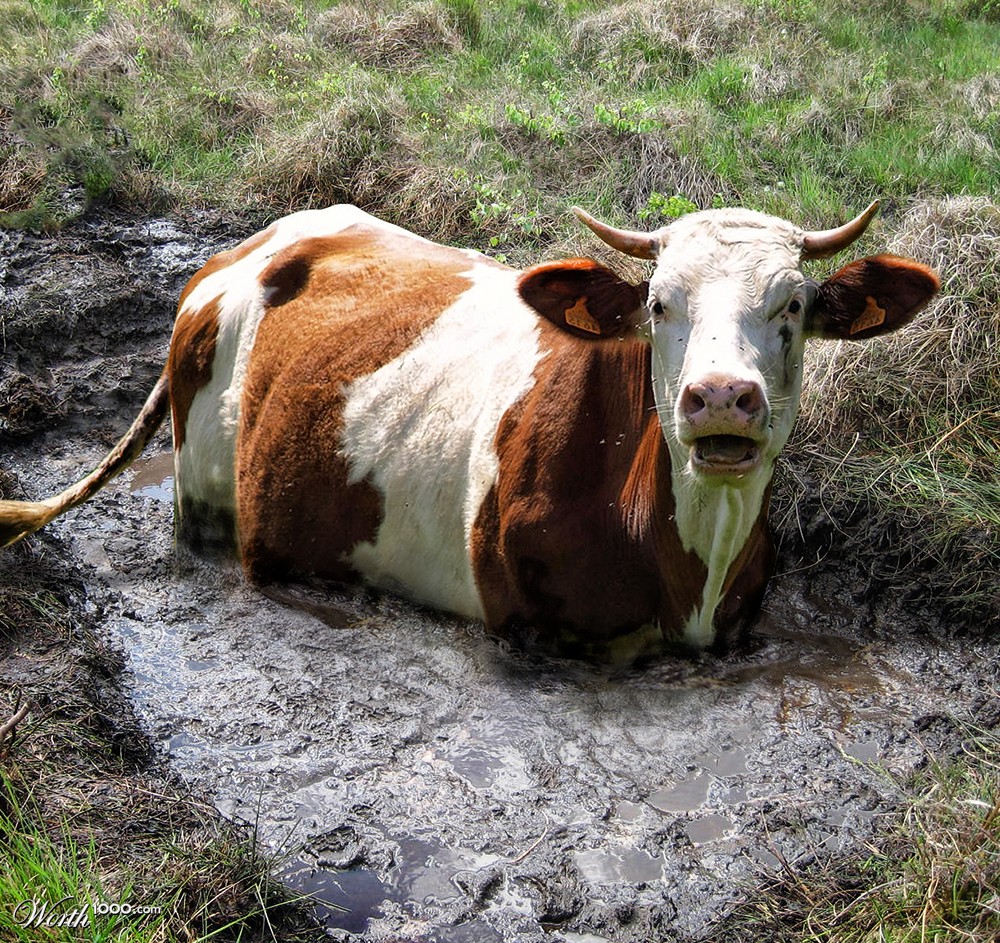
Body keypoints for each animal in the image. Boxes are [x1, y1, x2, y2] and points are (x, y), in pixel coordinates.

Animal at [0, 202, 938, 656]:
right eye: (659, 304)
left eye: (794, 306)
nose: (718, 398)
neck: (689, 555)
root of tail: (250, 246)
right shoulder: (535, 626)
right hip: (203, 500)